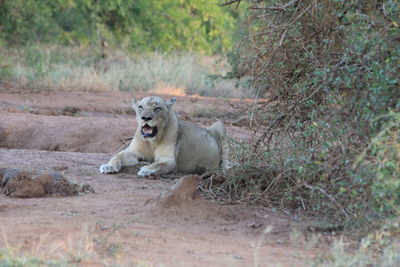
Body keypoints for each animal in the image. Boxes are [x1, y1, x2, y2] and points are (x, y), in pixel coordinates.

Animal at [99, 97, 228, 178]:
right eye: (140, 107)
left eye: (157, 108)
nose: (145, 118)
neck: (151, 141)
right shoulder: (133, 152)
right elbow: (117, 155)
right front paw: (108, 166)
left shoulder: (169, 160)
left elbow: (158, 165)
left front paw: (146, 169)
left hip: (220, 124)